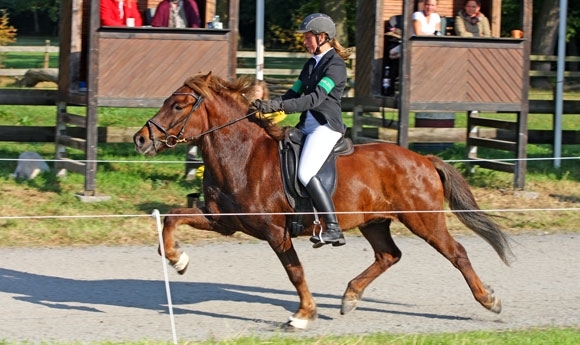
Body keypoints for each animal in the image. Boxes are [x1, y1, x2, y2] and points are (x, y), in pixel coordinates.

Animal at [135, 72, 512, 328]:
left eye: (178, 105)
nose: (141, 139)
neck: (242, 154)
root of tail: (423, 159)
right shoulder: (222, 221)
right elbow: (172, 217)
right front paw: (178, 259)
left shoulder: (275, 232)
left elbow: (295, 271)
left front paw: (303, 315)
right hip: (375, 221)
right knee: (388, 255)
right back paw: (350, 297)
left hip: (423, 218)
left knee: (456, 253)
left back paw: (489, 300)